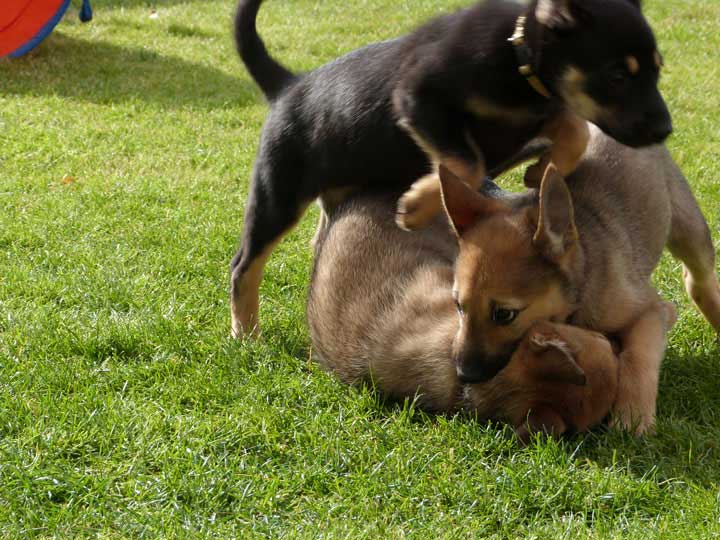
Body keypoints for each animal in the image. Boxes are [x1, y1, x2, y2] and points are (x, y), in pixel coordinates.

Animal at [231, 0, 668, 338]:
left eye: (657, 70)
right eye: (617, 74)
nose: (666, 129)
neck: (517, 57)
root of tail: (288, 85)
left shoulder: (539, 116)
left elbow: (574, 130)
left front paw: (543, 167)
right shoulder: (418, 97)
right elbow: (466, 162)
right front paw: (416, 206)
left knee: (316, 241)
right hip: (278, 194)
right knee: (243, 267)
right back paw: (246, 334)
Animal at [438, 124, 720, 432]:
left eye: (504, 314)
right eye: (458, 305)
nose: (464, 375)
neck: (578, 294)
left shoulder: (649, 310)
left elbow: (638, 356)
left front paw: (632, 416)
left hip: (689, 228)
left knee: (698, 279)